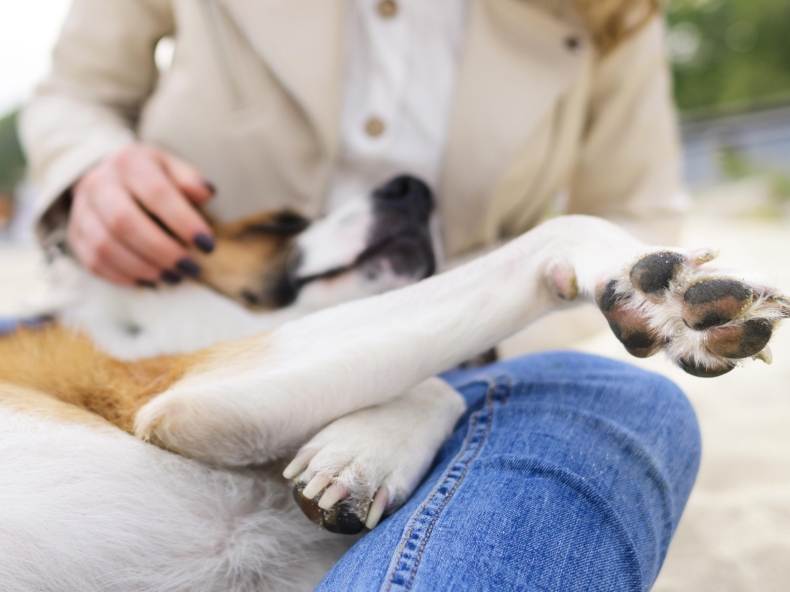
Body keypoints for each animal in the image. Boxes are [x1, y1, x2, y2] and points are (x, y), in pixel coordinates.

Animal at [0, 173, 784, 588]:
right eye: (279, 223)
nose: (412, 187)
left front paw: (360, 453)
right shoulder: (191, 393)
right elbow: (558, 233)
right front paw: (655, 285)